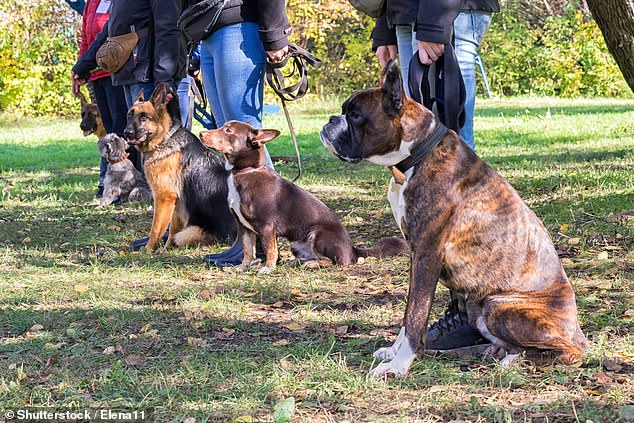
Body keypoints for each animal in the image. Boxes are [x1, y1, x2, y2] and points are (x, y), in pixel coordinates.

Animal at [199, 119, 404, 274]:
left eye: (228, 130)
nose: (201, 133)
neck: (245, 171)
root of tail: (352, 249)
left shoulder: (266, 226)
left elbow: (270, 249)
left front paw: (268, 268)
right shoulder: (244, 227)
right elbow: (248, 250)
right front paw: (243, 267)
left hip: (316, 233)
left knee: (336, 262)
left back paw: (312, 264)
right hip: (297, 244)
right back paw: (299, 262)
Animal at [320, 59, 588, 378]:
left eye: (355, 115)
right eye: (344, 111)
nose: (330, 120)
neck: (417, 155)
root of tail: (578, 331)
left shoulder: (427, 255)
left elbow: (416, 315)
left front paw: (398, 366)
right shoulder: (415, 255)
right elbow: (408, 312)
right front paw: (394, 352)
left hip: (499, 305)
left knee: (567, 353)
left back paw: (514, 361)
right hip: (479, 309)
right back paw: (494, 353)